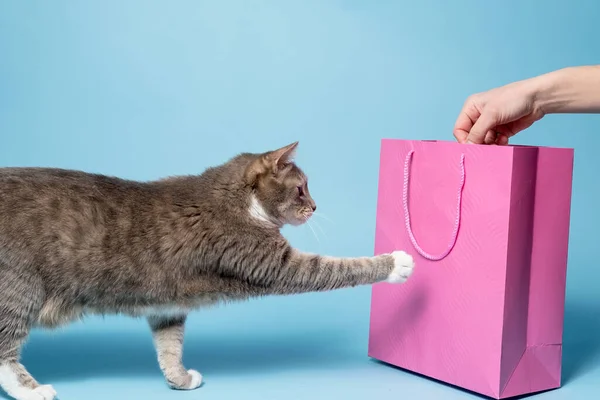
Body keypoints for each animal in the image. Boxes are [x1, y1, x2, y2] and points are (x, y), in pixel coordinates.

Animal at [0, 142, 414, 398]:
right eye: (301, 189)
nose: (315, 206)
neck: (240, 201)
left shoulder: (166, 303)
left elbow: (170, 345)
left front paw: (180, 380)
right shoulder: (272, 263)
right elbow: (334, 268)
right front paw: (397, 262)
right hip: (19, 287)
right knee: (5, 348)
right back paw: (33, 390)